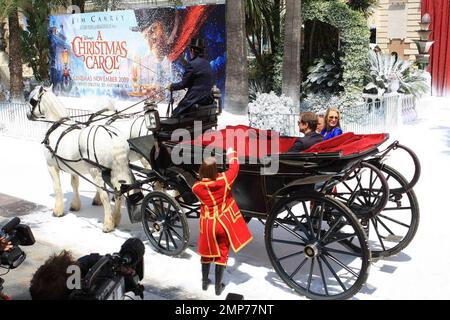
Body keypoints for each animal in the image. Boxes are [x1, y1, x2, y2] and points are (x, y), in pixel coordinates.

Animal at [27, 86, 133, 231]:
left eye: (32, 100)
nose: (28, 114)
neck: (58, 127)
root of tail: (112, 135)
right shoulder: (72, 168)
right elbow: (74, 184)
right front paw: (75, 205)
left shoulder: (51, 166)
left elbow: (57, 187)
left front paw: (58, 210)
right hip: (115, 170)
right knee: (118, 192)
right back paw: (116, 219)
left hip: (96, 171)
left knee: (105, 195)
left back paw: (108, 224)